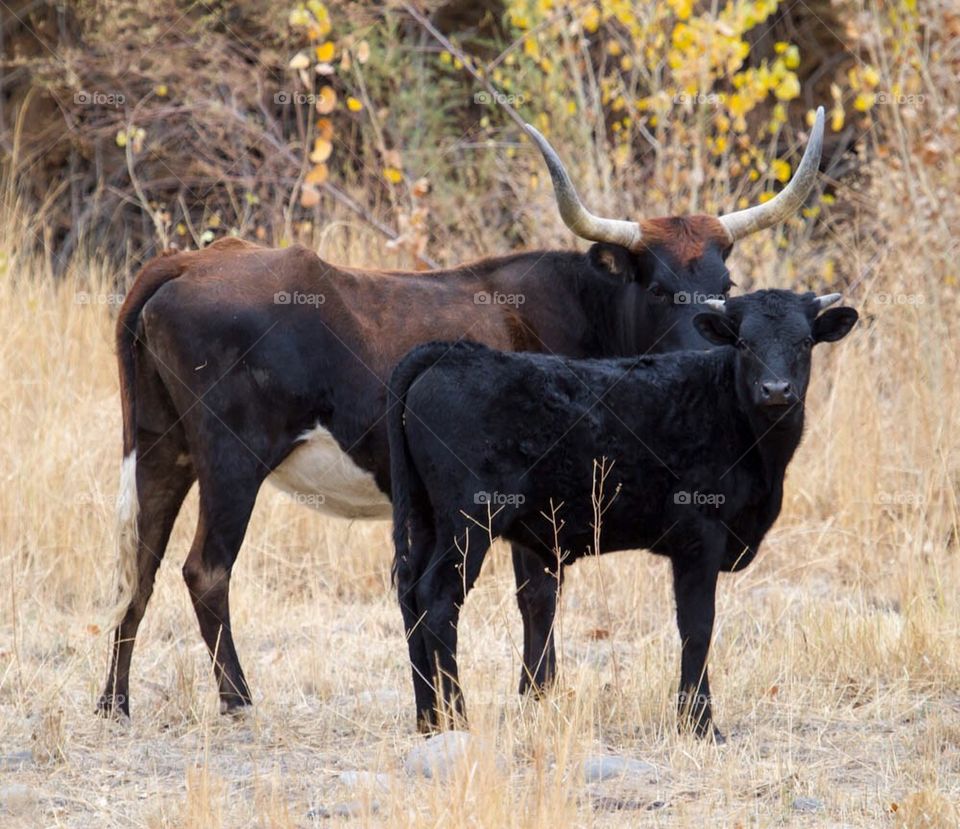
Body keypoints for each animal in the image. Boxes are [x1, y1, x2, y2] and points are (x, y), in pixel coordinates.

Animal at [98, 110, 826, 719]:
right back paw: (238, 699)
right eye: (655, 285)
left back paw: (115, 700)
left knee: (138, 565)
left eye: (725, 285)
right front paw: (538, 692)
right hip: (231, 459)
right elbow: (540, 593)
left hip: (161, 449)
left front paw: (535, 691)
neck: (581, 305)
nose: (715, 351)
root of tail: (188, 259)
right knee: (205, 569)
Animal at [388, 289, 858, 740]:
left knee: (410, 595)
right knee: (438, 596)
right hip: (469, 520)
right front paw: (700, 725)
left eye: (804, 342)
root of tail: (451, 353)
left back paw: (428, 717)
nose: (776, 390)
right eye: (744, 342)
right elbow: (698, 625)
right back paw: (457, 717)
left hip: (426, 518)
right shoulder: (700, 535)